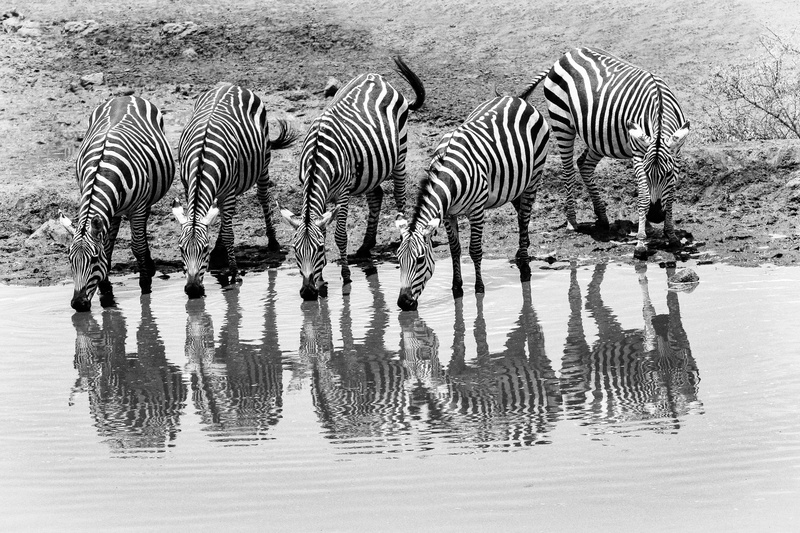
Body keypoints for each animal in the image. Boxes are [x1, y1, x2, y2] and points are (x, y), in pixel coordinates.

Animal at [60, 96, 174, 312]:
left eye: (94, 259)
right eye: (70, 259)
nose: (78, 304)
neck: (103, 169)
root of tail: (125, 97)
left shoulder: (138, 207)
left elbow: (137, 247)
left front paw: (145, 286)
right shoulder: (106, 212)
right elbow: (107, 247)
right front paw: (106, 290)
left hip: (144, 200)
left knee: (142, 230)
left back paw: (149, 266)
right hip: (113, 212)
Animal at [171, 84, 298, 298]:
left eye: (204, 249)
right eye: (181, 249)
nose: (193, 290)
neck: (202, 162)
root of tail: (230, 85)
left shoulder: (228, 191)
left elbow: (230, 233)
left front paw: (233, 271)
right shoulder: (188, 186)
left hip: (263, 162)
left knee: (262, 197)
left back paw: (272, 241)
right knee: (224, 215)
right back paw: (220, 249)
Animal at [280, 56, 426, 301]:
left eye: (319, 248)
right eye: (295, 250)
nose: (307, 293)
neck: (317, 157)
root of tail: (377, 76)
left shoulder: (343, 193)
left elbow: (340, 235)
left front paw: (345, 276)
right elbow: (324, 228)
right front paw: (321, 281)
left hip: (401, 154)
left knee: (399, 195)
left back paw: (401, 236)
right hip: (371, 167)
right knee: (376, 195)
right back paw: (366, 245)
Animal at [395, 93, 549, 311]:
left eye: (420, 260)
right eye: (398, 260)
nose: (403, 302)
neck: (451, 173)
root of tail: (516, 98)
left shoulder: (477, 210)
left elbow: (475, 251)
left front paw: (479, 288)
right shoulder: (448, 214)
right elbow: (455, 250)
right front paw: (456, 287)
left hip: (534, 176)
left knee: (524, 216)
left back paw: (525, 265)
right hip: (516, 182)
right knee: (521, 213)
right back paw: (522, 251)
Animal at [522, 47, 691, 258]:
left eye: (667, 174)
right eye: (647, 173)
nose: (654, 215)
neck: (659, 110)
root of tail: (567, 54)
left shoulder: (676, 156)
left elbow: (670, 196)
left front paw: (671, 234)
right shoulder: (638, 153)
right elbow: (644, 196)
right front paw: (641, 242)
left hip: (599, 136)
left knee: (584, 165)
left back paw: (602, 217)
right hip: (561, 122)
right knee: (568, 171)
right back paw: (572, 221)